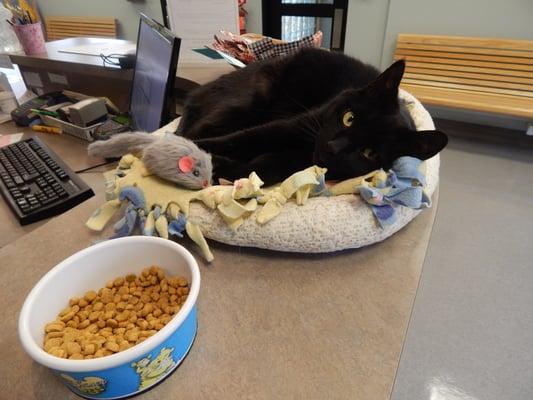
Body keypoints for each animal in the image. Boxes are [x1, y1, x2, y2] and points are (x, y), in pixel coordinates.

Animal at [177, 47, 446, 184]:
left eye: (369, 153)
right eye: (349, 118)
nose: (333, 147)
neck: (306, 149)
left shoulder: (298, 162)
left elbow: (264, 168)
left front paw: (220, 166)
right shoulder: (293, 125)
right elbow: (242, 140)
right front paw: (195, 152)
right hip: (247, 102)